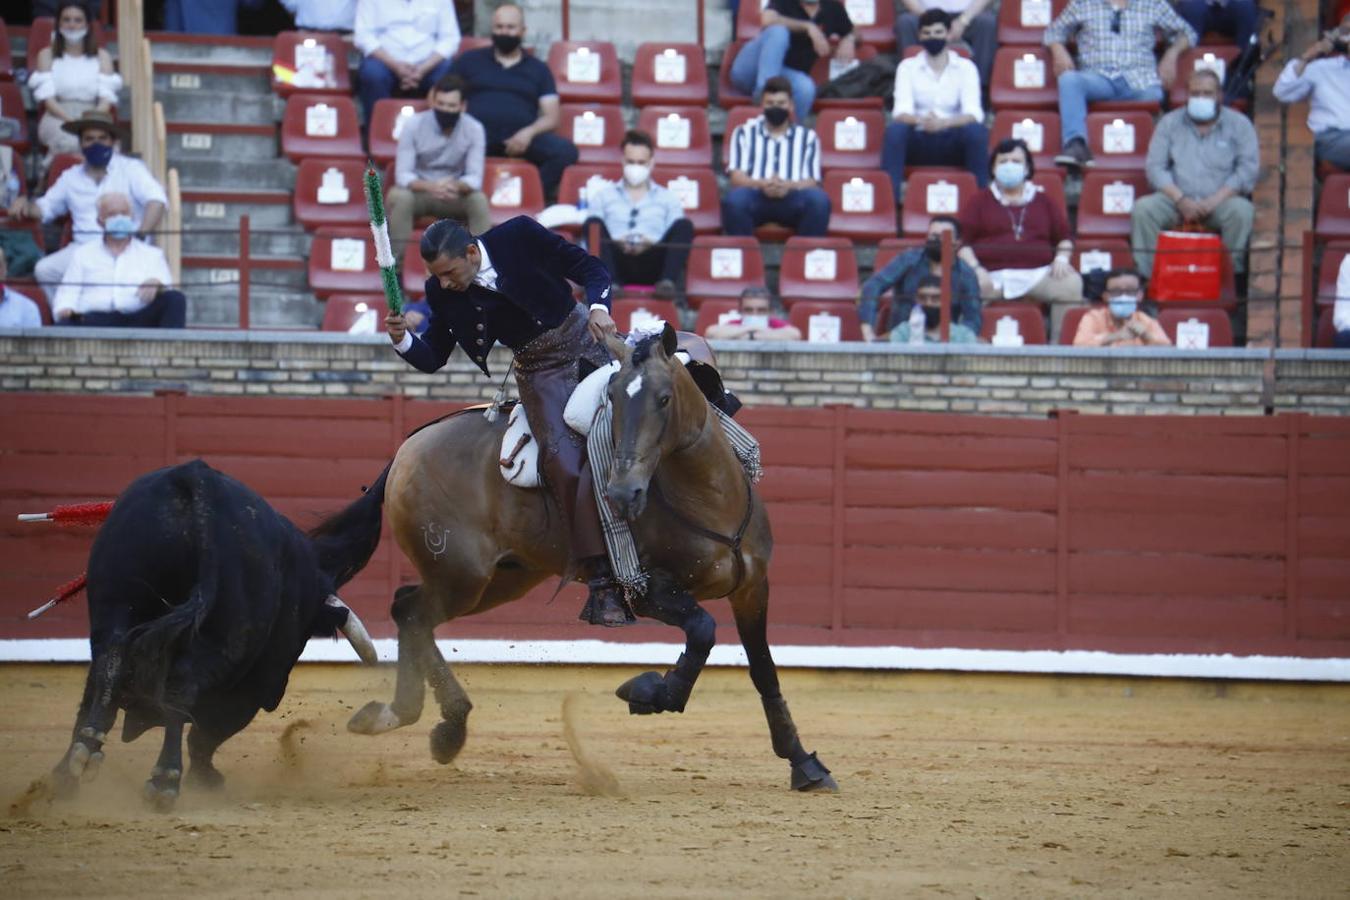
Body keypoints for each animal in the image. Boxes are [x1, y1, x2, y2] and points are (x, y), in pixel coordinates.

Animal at [52, 461, 388, 814]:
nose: (275, 695)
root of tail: (195, 477)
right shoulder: (249, 688)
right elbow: (207, 732)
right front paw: (205, 777)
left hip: (114, 603)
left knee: (108, 667)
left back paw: (71, 768)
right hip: (225, 637)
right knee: (179, 687)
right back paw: (164, 780)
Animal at [348, 327, 831, 793]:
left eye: (664, 398)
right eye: (612, 399)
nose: (621, 493)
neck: (707, 494)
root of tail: (408, 446)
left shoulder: (753, 588)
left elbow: (763, 669)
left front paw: (803, 762)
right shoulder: (646, 590)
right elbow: (702, 629)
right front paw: (650, 692)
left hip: (502, 579)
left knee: (408, 607)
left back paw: (415, 718)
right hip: (462, 576)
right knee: (412, 612)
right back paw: (433, 723)